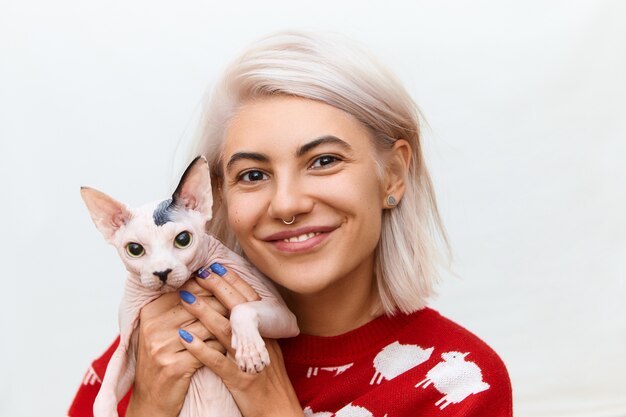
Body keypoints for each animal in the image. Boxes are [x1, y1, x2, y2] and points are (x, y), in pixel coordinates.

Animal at [79, 156, 298, 416]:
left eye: (183, 239)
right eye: (135, 249)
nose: (162, 272)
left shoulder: (287, 318)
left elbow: (242, 309)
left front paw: (249, 349)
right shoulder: (127, 347)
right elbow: (103, 393)